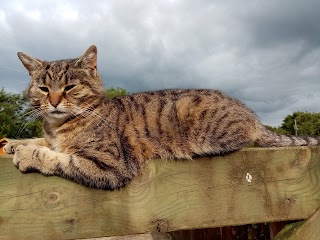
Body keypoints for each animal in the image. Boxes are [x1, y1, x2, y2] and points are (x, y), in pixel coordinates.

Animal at [3, 45, 318, 189]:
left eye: (70, 87)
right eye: (44, 88)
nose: (54, 101)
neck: (59, 126)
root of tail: (252, 116)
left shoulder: (110, 166)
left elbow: (59, 158)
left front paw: (27, 154)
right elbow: (44, 142)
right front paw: (15, 143)